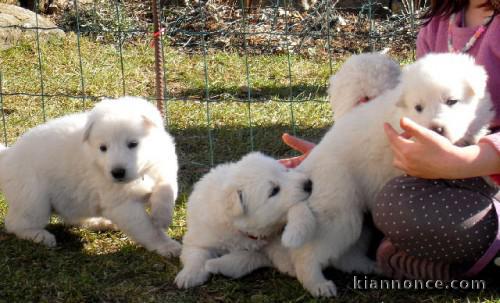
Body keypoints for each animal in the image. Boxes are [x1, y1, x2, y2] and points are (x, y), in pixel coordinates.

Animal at [0, 96, 181, 258]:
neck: (139, 174)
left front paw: (161, 217)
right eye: (103, 148)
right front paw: (167, 245)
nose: (117, 172)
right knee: (15, 223)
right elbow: (148, 229)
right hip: (33, 200)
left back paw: (100, 222)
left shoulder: (164, 167)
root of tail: (7, 155)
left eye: (133, 144)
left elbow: (165, 190)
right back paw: (40, 236)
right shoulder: (123, 206)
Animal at [176, 154, 312, 290]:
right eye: (274, 190)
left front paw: (290, 264)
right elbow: (196, 255)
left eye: (286, 171)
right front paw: (189, 276)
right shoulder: (198, 238)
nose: (309, 184)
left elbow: (270, 249)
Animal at [288, 53, 494, 298]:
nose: (435, 130)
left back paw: (369, 266)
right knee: (308, 254)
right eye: (418, 107)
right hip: (339, 213)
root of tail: (306, 170)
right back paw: (319, 284)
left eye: (452, 101)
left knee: (343, 256)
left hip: (356, 218)